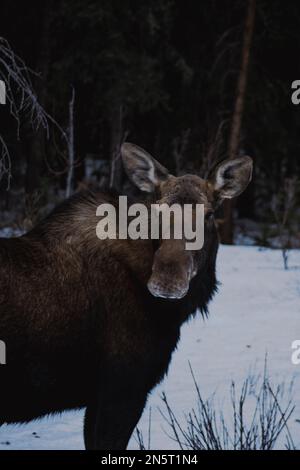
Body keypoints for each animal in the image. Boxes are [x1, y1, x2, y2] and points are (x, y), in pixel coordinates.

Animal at [0, 143, 253, 448]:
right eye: (157, 212)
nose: (167, 282)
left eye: (208, 215)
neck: (171, 315)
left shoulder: (103, 396)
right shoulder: (124, 387)